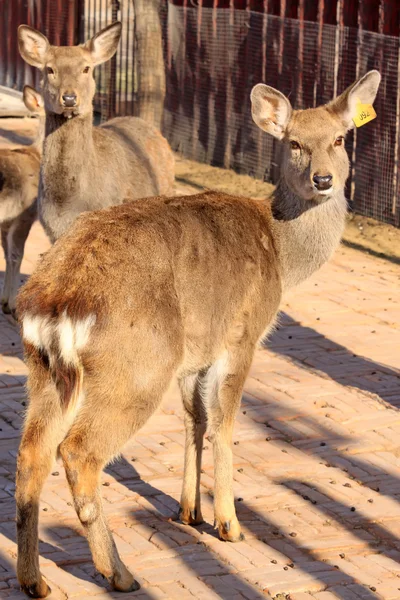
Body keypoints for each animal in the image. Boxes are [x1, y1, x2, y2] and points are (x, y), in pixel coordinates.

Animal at [14, 70, 380, 596]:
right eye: (294, 143)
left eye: (339, 139)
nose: (324, 180)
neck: (281, 256)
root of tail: (53, 298)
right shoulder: (242, 336)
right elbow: (225, 422)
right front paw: (229, 524)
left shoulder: (197, 351)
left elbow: (195, 419)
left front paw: (188, 512)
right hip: (137, 367)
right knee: (79, 452)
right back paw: (119, 572)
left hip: (46, 370)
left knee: (30, 454)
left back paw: (35, 581)